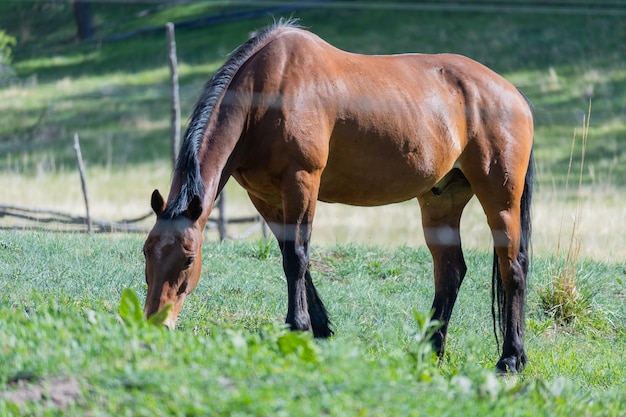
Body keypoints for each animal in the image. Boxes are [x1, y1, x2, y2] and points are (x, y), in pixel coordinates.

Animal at [144, 18, 532, 374]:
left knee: (512, 266)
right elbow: (291, 256)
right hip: (440, 201)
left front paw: (297, 327)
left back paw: (510, 358)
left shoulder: (302, 182)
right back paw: (429, 351)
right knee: (450, 272)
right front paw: (320, 328)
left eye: (188, 259)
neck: (267, 93)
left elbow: (297, 257)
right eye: (146, 253)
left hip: (500, 198)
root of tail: (513, 95)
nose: (155, 324)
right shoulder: (266, 198)